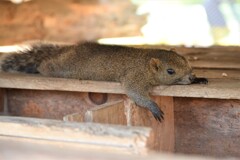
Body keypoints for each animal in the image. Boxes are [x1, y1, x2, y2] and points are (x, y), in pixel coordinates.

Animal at [0, 42, 207, 122]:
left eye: (186, 61)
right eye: (170, 71)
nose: (190, 77)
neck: (145, 61)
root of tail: (65, 51)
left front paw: (198, 79)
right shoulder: (134, 77)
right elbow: (135, 93)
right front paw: (153, 107)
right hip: (60, 67)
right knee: (46, 65)